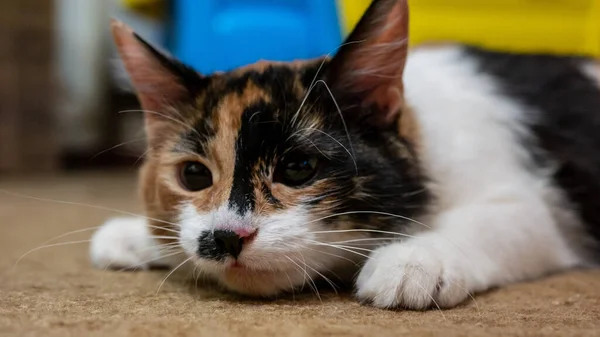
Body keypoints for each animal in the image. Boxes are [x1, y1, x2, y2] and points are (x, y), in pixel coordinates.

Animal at [89, 0, 600, 310]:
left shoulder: (540, 210)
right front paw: (135, 235)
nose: (226, 238)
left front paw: (414, 259)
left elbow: (499, 221)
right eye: (194, 176)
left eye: (299, 168)